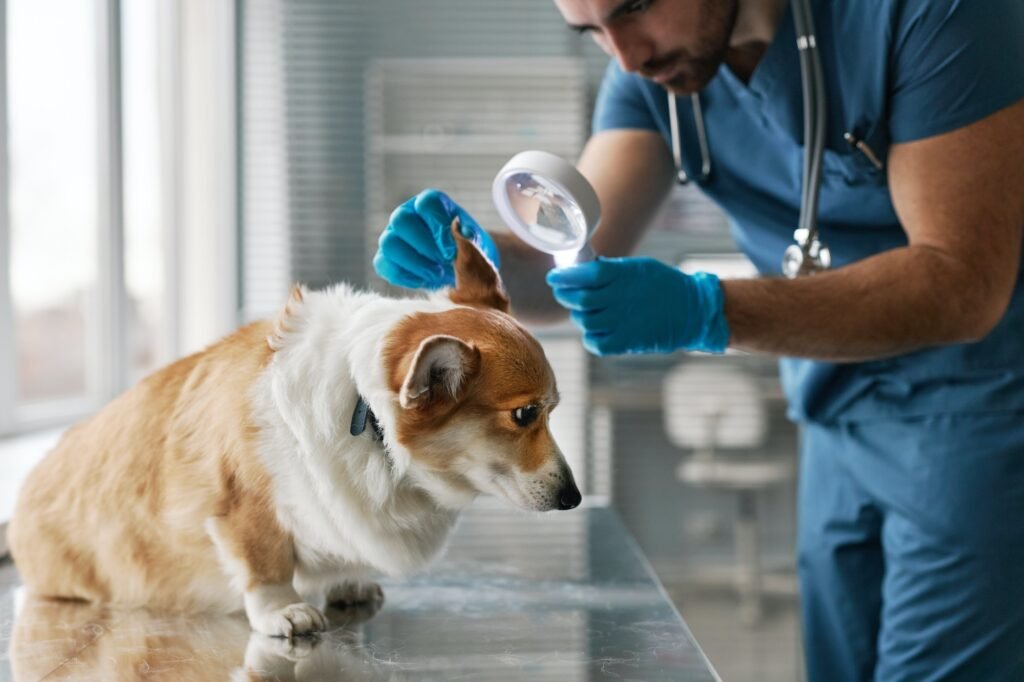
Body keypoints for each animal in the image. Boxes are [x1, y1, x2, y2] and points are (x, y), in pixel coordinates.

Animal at [8, 220, 581, 634]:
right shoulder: (243, 507)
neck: (367, 413)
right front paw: (284, 611)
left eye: (552, 409)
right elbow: (265, 564)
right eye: (524, 414)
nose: (574, 498)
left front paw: (346, 582)